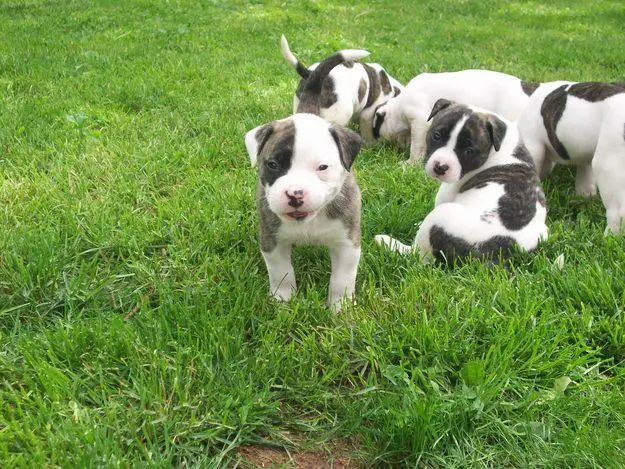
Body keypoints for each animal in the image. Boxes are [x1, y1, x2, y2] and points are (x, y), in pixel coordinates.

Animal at [244, 114, 360, 310]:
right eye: (272, 164)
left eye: (322, 167)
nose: (295, 194)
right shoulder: (272, 240)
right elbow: (281, 272)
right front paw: (283, 300)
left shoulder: (347, 244)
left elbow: (342, 279)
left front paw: (340, 307)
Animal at [376, 98, 544, 262]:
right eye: (436, 136)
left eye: (469, 151)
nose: (440, 167)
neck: (498, 147)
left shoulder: (445, 194)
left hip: (442, 215)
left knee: (417, 255)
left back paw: (388, 242)